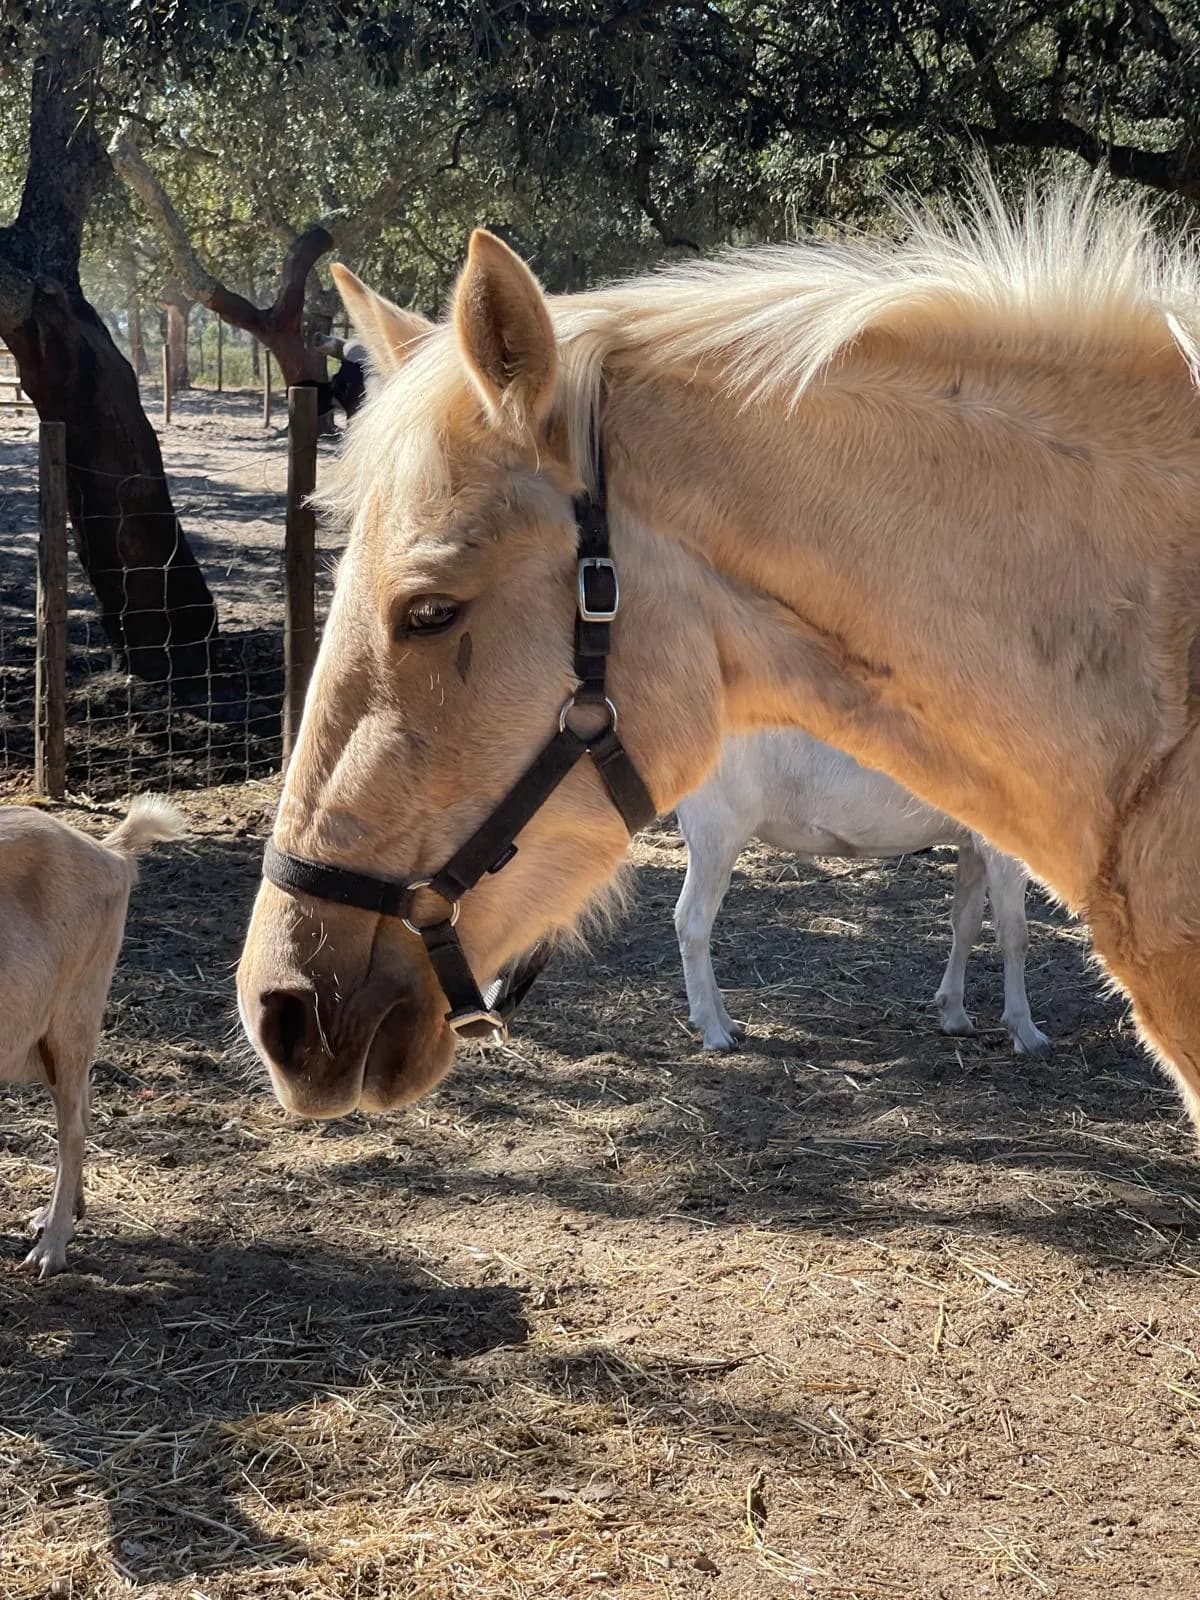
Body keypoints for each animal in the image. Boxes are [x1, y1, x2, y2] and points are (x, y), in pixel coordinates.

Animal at [236, 173, 1200, 1132]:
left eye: (430, 611)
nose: (280, 1011)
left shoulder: (979, 846)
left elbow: (970, 923)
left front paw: (963, 1012)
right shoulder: (997, 851)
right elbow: (1009, 930)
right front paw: (1021, 1028)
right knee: (692, 922)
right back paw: (715, 1027)